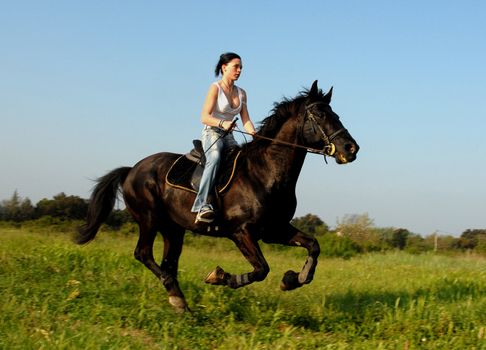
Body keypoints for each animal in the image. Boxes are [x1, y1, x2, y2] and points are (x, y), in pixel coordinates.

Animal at [75, 81, 356, 312]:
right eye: (320, 114)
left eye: (337, 115)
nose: (351, 148)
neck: (265, 172)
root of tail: (131, 170)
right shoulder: (241, 232)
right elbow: (261, 269)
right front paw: (220, 277)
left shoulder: (274, 229)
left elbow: (313, 245)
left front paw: (292, 280)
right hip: (149, 219)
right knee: (143, 254)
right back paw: (176, 296)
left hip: (173, 229)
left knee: (168, 262)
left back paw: (180, 301)